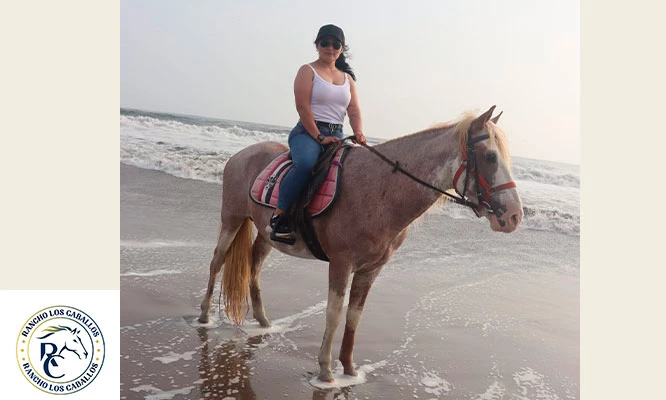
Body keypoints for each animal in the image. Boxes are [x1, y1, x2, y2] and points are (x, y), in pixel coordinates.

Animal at [198, 106, 523, 382]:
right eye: (490, 157)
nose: (514, 216)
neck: (379, 190)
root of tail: (241, 154)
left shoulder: (371, 269)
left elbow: (355, 315)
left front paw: (350, 369)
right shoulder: (341, 264)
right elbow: (334, 312)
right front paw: (326, 371)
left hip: (267, 235)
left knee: (253, 268)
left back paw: (264, 321)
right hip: (231, 219)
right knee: (216, 261)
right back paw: (204, 315)